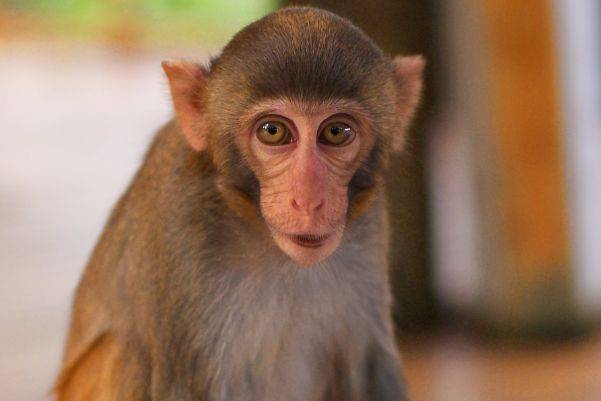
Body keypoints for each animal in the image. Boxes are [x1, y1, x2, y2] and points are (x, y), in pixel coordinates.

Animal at [55, 5, 422, 400]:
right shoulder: (181, 217)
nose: (308, 201)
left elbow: (371, 372)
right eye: (273, 131)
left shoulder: (369, 224)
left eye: (336, 132)